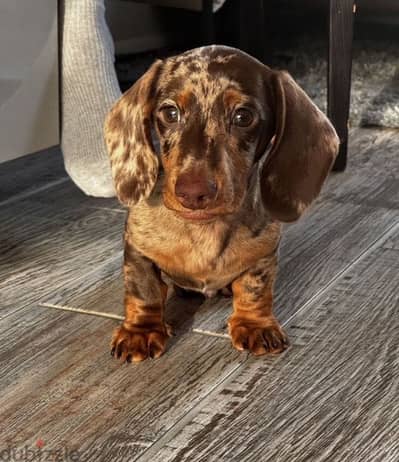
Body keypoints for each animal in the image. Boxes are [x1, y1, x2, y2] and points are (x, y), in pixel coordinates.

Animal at [104, 44, 340, 360]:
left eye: (243, 117)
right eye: (170, 112)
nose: (192, 193)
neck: (205, 229)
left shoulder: (264, 254)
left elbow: (255, 288)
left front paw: (255, 324)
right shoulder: (137, 249)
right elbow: (144, 290)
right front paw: (140, 331)